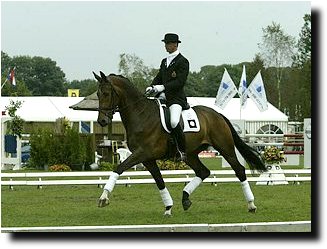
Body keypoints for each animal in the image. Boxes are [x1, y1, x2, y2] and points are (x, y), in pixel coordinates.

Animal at [93, 71, 268, 215]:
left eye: (106, 93)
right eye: (98, 94)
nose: (102, 121)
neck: (141, 114)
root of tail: (217, 115)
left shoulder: (142, 153)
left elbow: (119, 168)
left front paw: (103, 198)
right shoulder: (147, 159)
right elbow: (159, 181)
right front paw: (168, 207)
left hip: (225, 147)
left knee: (239, 170)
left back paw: (251, 205)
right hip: (190, 154)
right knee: (203, 172)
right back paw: (185, 199)